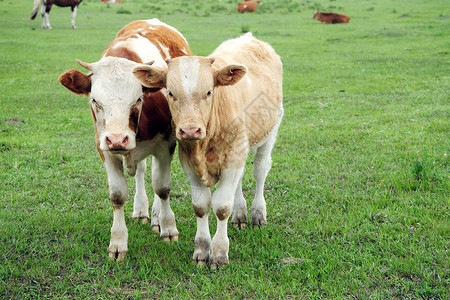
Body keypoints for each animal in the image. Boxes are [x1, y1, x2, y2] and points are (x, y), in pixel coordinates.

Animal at [58, 18, 192, 260]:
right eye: (95, 101)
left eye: (138, 99)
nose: (118, 140)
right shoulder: (104, 149)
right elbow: (117, 195)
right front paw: (118, 243)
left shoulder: (166, 144)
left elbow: (162, 187)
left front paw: (168, 227)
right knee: (140, 171)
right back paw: (141, 210)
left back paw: (156, 216)